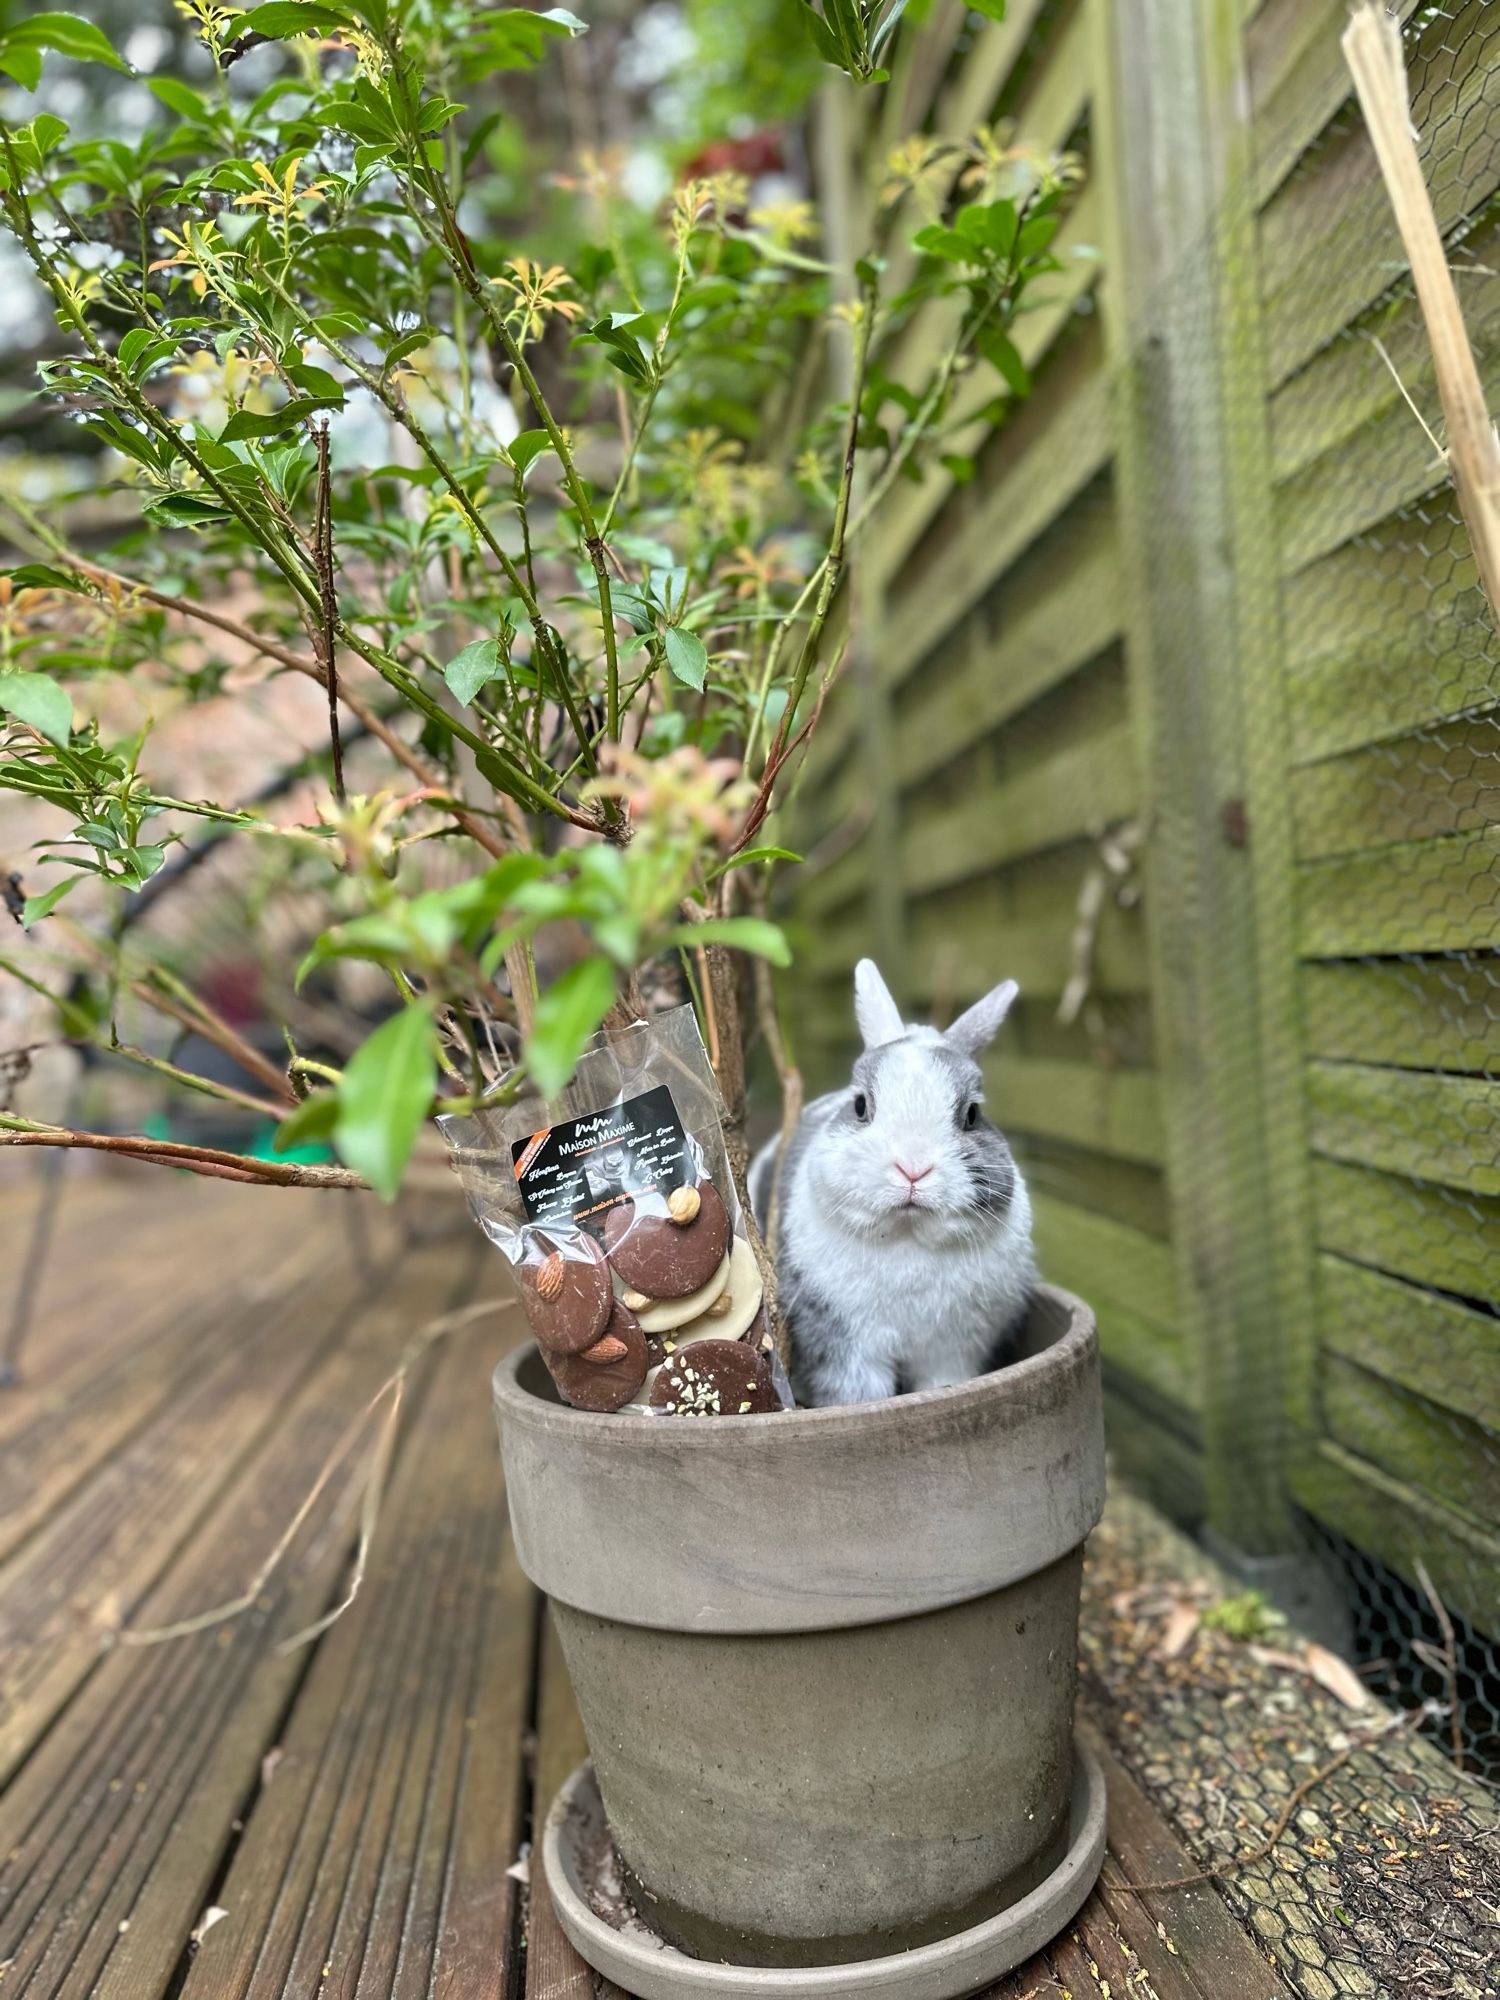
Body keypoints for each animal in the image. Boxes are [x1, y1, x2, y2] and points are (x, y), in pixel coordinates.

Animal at [748, 956, 1040, 1408]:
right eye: (860, 1106)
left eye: (972, 1114)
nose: (913, 1168)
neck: (908, 1237)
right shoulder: (843, 1350)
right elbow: (857, 1396)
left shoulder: (954, 1351)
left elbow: (945, 1384)